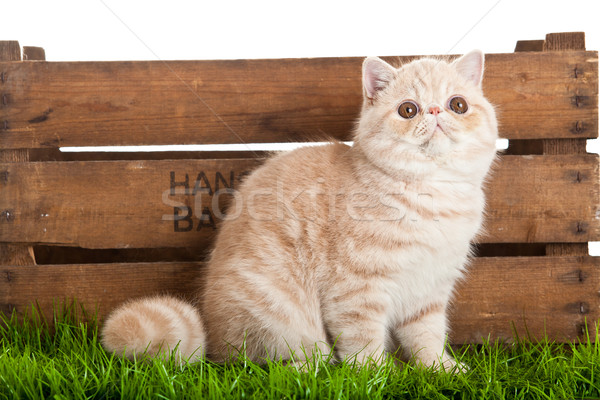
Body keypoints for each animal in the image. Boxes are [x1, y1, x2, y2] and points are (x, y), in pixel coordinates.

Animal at [102, 50, 496, 372]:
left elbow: (427, 335)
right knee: (272, 363)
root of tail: (213, 336)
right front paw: (377, 376)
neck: (434, 193)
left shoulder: (430, 290)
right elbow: (363, 341)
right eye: (408, 110)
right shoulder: (355, 290)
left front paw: (440, 369)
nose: (436, 111)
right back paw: (307, 368)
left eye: (458, 105)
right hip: (282, 317)